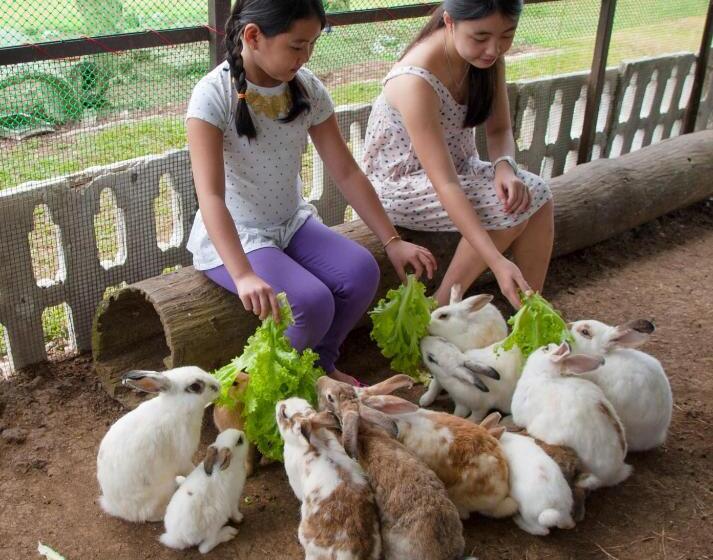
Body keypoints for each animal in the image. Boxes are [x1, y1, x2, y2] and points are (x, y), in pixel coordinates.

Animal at [96, 368, 220, 520]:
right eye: (195, 386)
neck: (177, 408)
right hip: (161, 491)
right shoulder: (183, 459)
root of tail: (115, 508)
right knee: (150, 515)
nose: (219, 386)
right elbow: (191, 469)